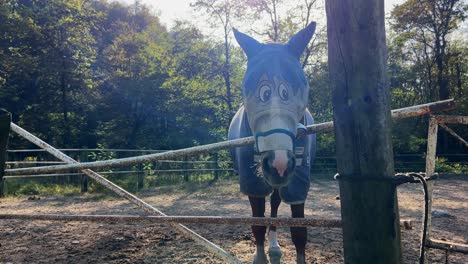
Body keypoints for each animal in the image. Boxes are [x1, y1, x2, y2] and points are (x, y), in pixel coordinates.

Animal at [228, 23, 316, 264]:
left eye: (300, 88)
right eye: (256, 92)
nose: (279, 163)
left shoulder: (297, 185)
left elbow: (299, 233)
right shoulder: (254, 185)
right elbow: (257, 226)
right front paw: (259, 257)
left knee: (275, 206)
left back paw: (275, 248)